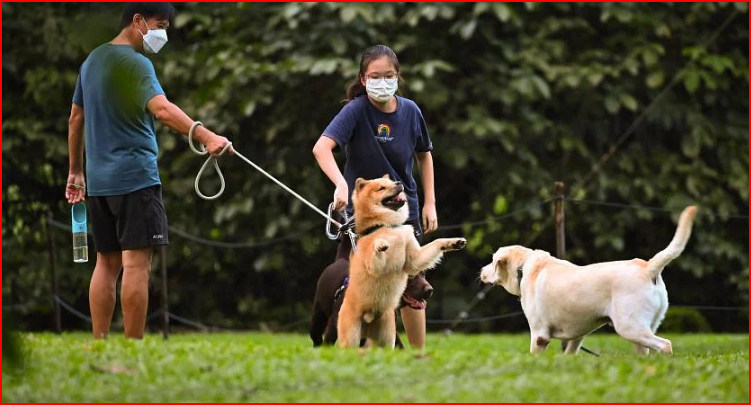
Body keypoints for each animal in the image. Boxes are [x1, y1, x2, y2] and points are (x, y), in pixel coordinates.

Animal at [340, 174, 468, 348]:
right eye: (381, 188)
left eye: (391, 182)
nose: (399, 182)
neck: (388, 225)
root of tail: (369, 319)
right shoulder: (374, 267)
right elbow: (377, 252)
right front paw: (380, 244)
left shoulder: (414, 259)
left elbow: (436, 242)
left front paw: (454, 242)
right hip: (351, 338)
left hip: (387, 336)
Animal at [482, 205, 700, 354]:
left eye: (492, 261)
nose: (481, 271)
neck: (524, 266)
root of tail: (648, 266)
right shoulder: (577, 336)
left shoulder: (539, 335)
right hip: (641, 332)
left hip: (630, 327)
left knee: (665, 344)